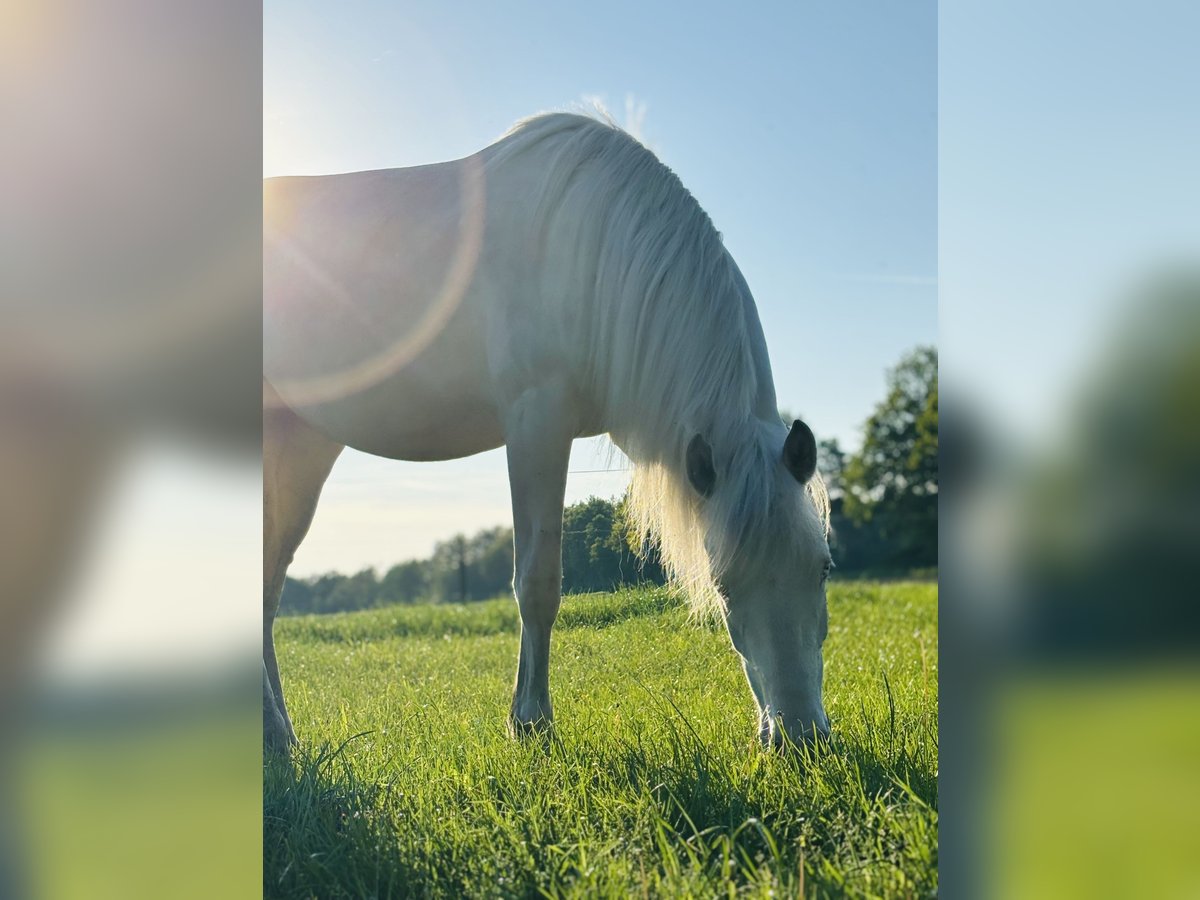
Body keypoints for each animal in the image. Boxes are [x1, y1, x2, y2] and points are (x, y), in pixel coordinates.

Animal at [265, 112, 835, 753]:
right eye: (724, 584)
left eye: (823, 568)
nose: (801, 737)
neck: (593, 250)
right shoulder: (536, 422)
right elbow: (538, 582)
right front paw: (531, 724)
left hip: (300, 444)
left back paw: (280, 739)